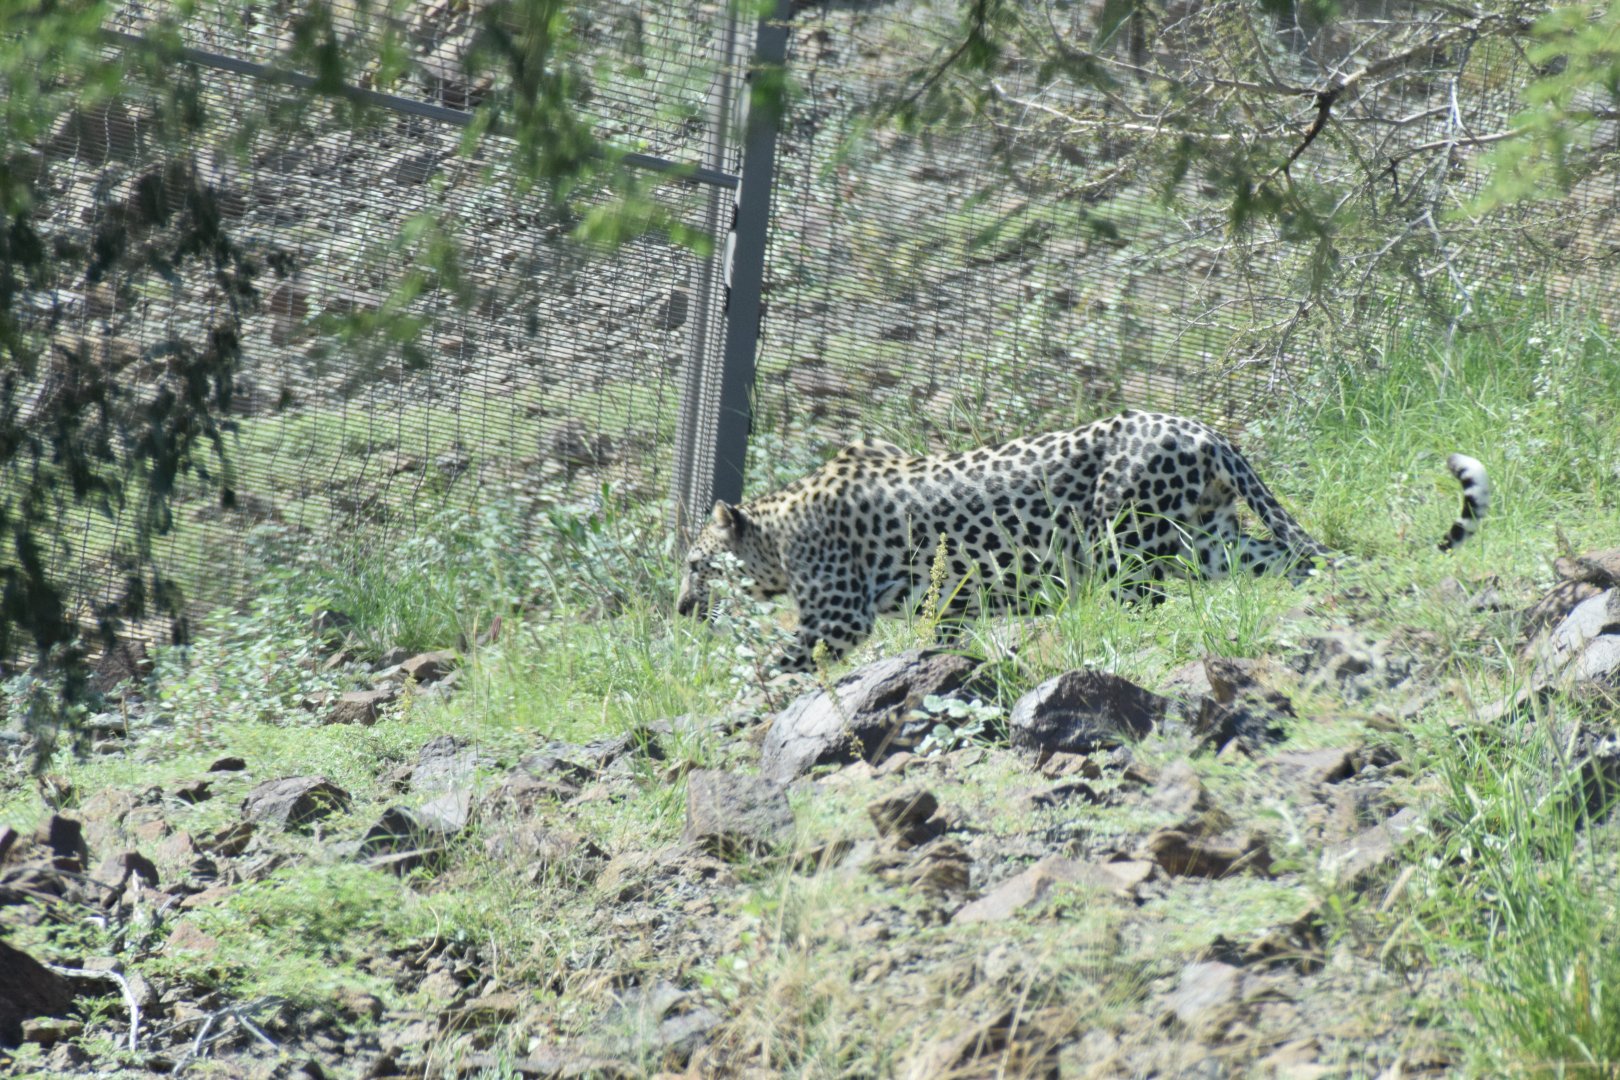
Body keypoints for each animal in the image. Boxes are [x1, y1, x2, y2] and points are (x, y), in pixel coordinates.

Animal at [676, 409, 1490, 673]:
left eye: (693, 564)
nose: (681, 609)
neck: (777, 536)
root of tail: (1205, 429)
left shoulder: (836, 615)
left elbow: (773, 665)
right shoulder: (952, 597)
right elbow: (946, 636)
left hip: (1127, 538)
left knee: (1143, 600)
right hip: (1213, 538)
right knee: (1287, 560)